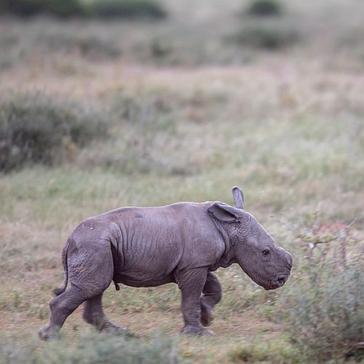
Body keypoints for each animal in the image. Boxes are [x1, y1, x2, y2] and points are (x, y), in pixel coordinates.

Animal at [38, 186, 292, 340]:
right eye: (265, 252)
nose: (282, 279)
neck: (226, 227)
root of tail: (69, 239)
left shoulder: (195, 263)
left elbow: (214, 288)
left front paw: (207, 316)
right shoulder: (194, 266)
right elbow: (190, 298)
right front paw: (198, 333)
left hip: (96, 246)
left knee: (94, 288)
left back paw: (121, 334)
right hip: (93, 244)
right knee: (91, 287)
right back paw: (50, 338)